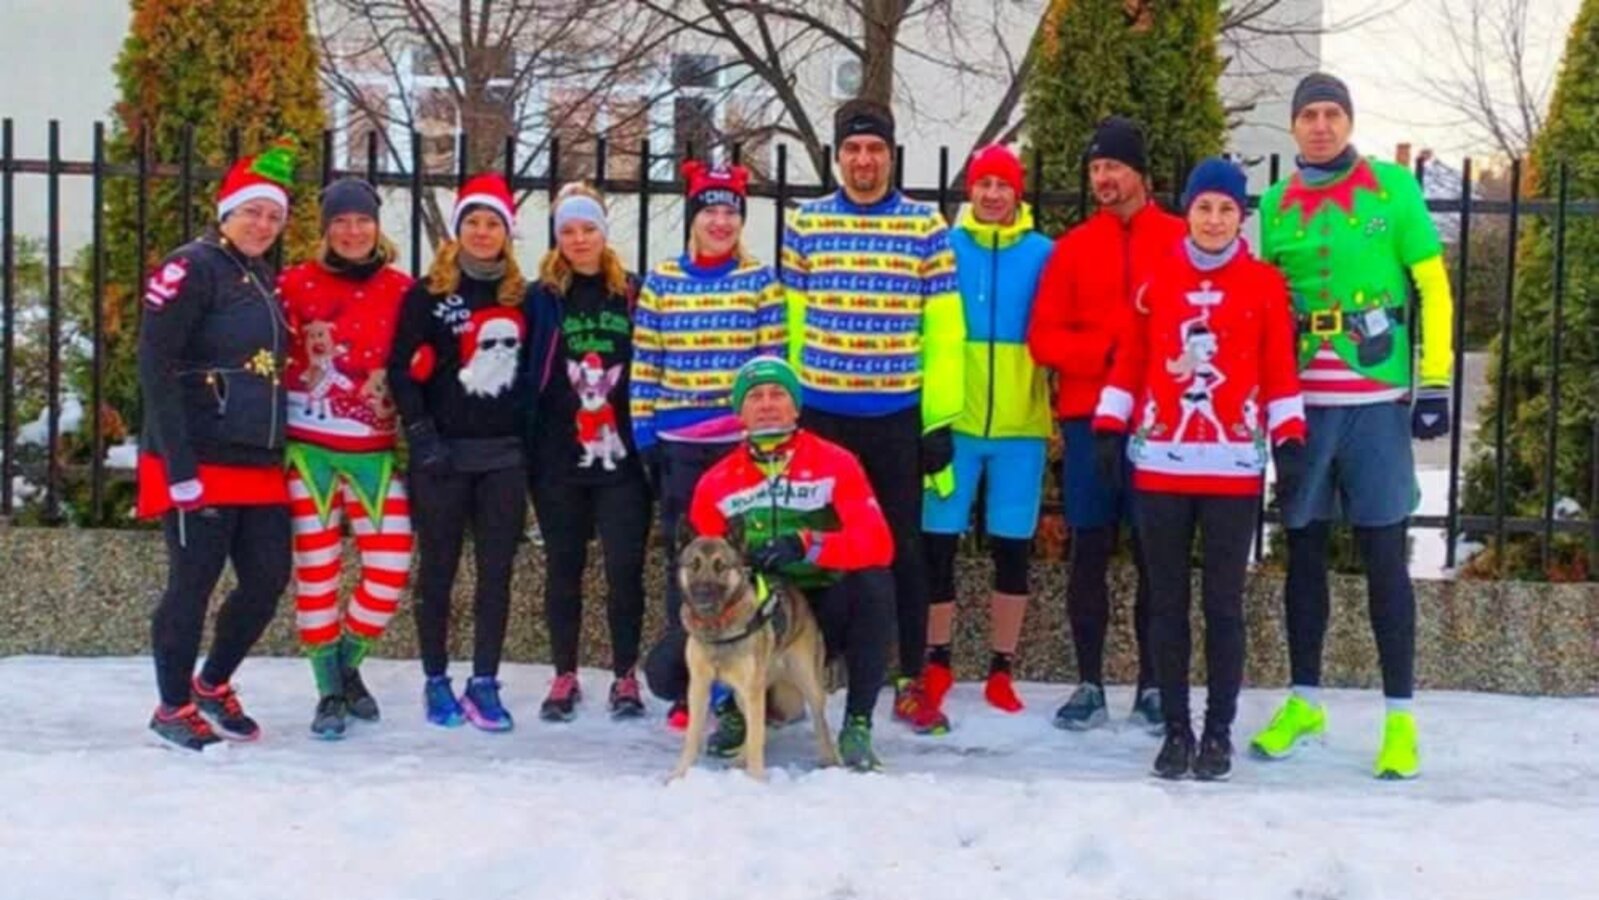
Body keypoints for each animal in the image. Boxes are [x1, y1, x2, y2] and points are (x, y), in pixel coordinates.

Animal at [669, 533, 841, 782]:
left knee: (819, 722)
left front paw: (756, 781)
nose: (703, 594)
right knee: (754, 731)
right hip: (744, 694)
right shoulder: (699, 687)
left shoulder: (752, 691)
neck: (718, 628)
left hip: (806, 683)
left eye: (721, 566)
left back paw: (830, 759)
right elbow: (692, 737)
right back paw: (739, 761)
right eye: (694, 565)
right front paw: (679, 775)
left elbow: (757, 738)